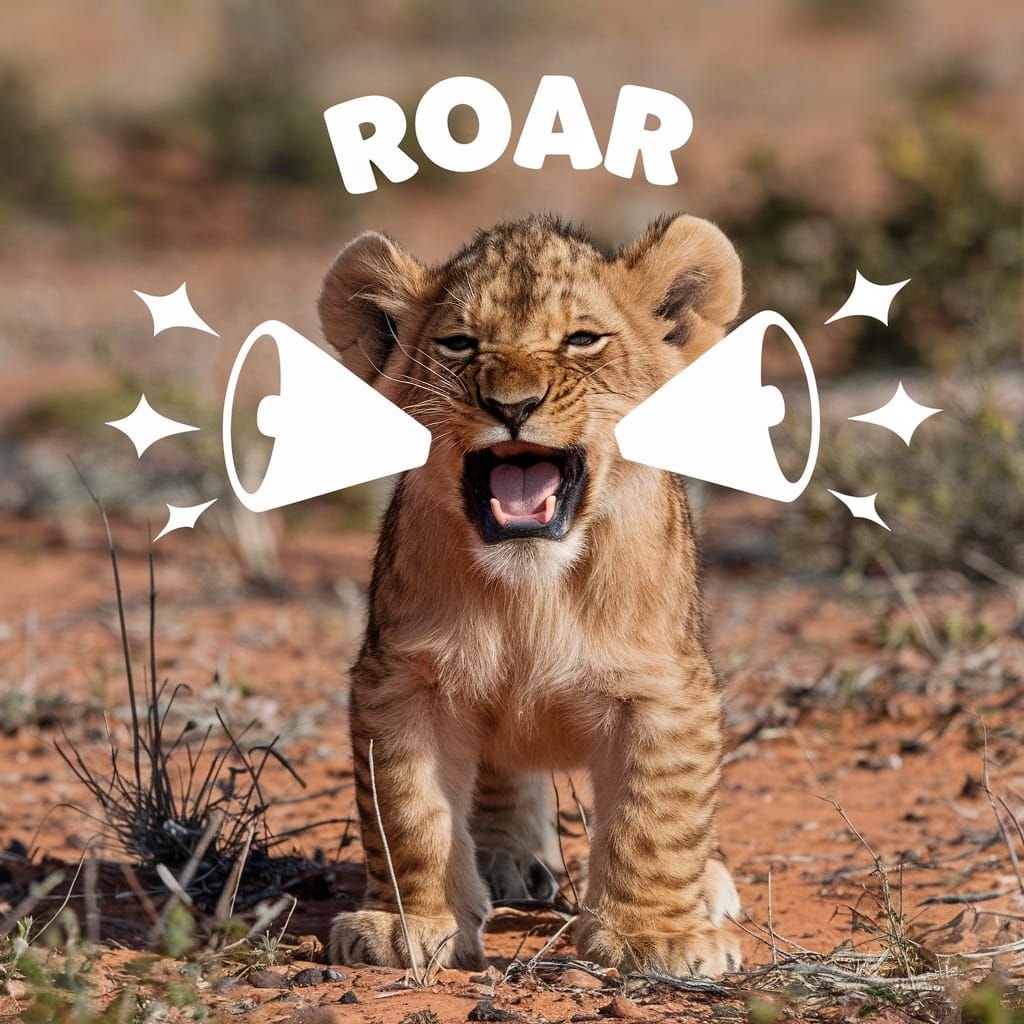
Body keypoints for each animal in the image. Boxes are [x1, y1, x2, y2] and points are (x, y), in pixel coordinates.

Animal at [318, 213, 743, 978]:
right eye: (460, 344)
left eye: (582, 339)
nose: (512, 406)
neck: (532, 590)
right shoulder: (400, 679)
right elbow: (407, 813)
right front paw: (407, 924)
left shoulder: (666, 685)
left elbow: (657, 813)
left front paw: (654, 936)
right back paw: (503, 855)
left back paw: (710, 883)